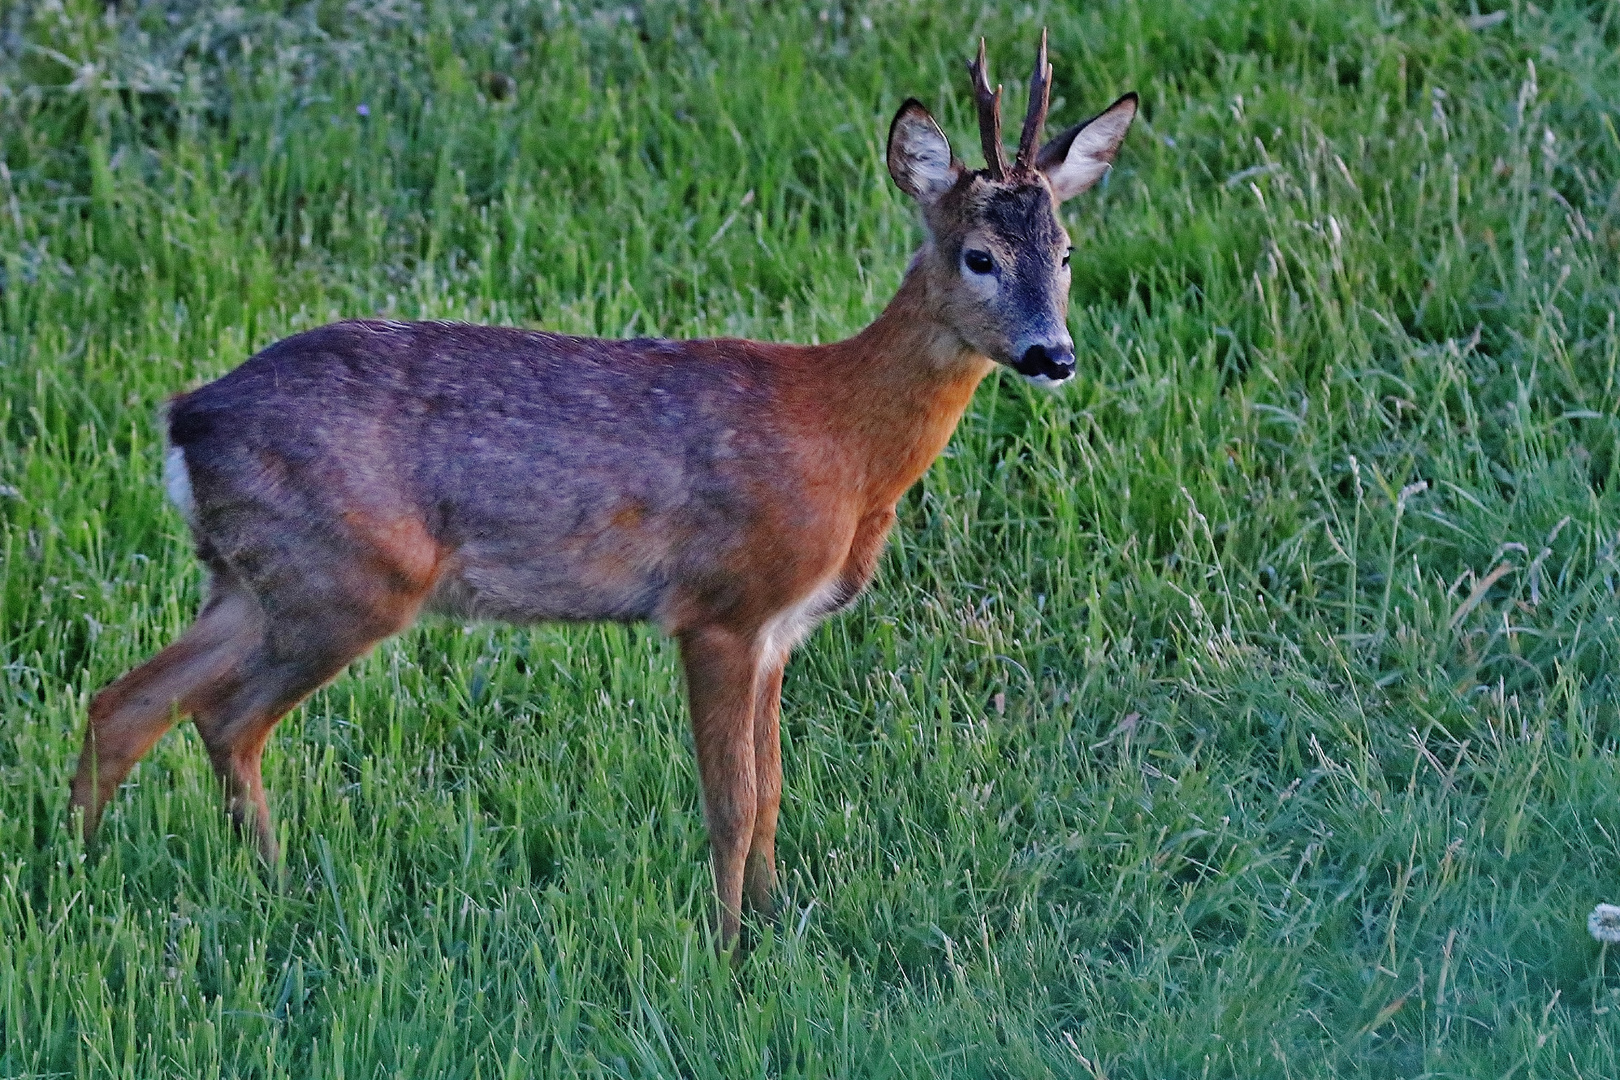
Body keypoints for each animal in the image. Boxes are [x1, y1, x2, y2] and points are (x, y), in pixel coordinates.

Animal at [72, 33, 1140, 945]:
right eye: (979, 255)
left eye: (1067, 253)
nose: (1053, 356)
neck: (839, 434)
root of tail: (186, 416)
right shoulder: (720, 608)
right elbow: (733, 802)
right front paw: (729, 952)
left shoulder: (780, 630)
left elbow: (774, 791)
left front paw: (778, 924)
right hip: (347, 577)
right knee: (223, 716)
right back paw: (247, 884)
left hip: (253, 579)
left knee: (127, 702)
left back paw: (94, 870)